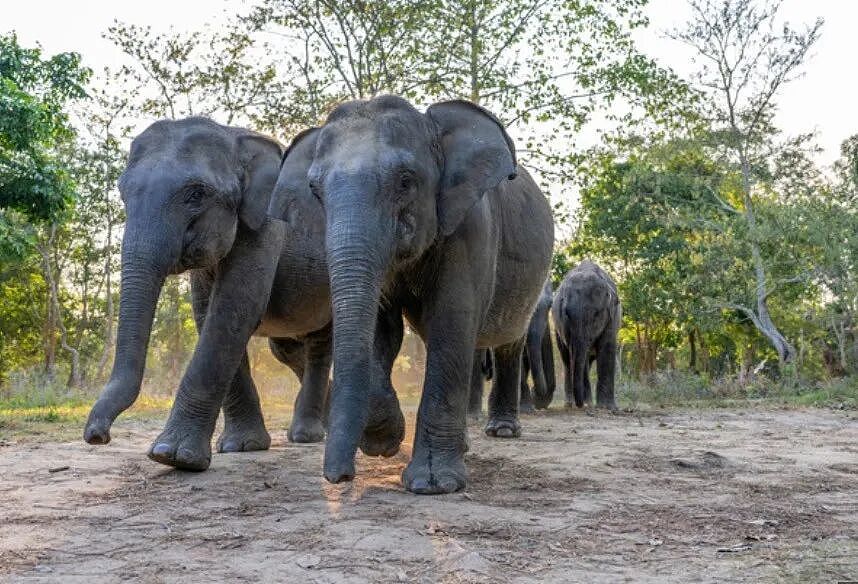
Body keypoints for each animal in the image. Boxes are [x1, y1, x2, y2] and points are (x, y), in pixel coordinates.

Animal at [82, 117, 351, 469]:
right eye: (123, 193)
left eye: (196, 194)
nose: (97, 436)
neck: (236, 138)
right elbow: (205, 311)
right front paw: (242, 446)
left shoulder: (265, 228)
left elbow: (233, 309)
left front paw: (172, 456)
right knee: (287, 350)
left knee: (320, 344)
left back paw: (308, 435)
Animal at [552, 260, 621, 410]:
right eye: (566, 313)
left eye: (596, 315)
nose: (580, 404)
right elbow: (577, 355)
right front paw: (589, 404)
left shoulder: (613, 317)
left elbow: (607, 348)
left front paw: (607, 407)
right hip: (557, 331)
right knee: (568, 359)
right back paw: (571, 403)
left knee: (584, 360)